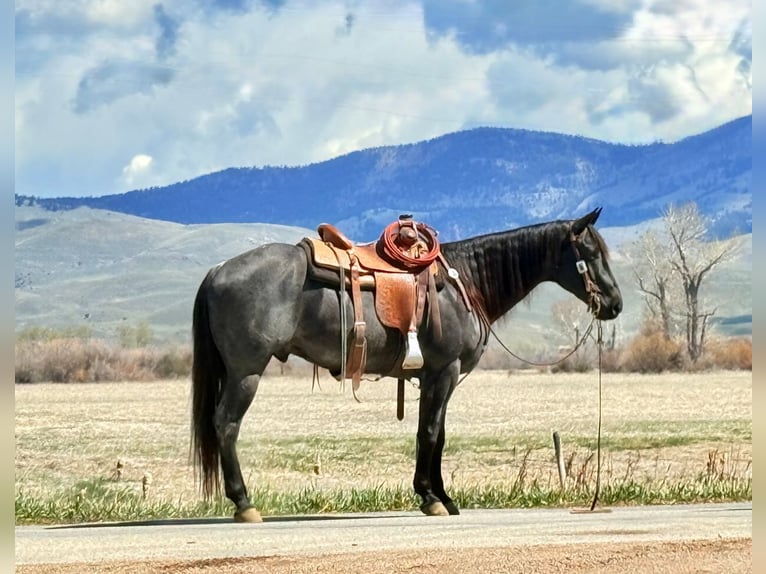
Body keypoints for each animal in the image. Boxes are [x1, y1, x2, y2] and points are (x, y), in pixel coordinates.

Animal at [191, 207, 623, 522]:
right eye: (590, 254)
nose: (616, 304)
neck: (464, 282)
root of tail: (218, 270)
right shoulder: (444, 372)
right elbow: (429, 433)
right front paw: (430, 497)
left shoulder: (436, 377)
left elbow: (437, 435)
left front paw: (443, 496)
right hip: (246, 373)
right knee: (226, 425)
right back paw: (244, 502)